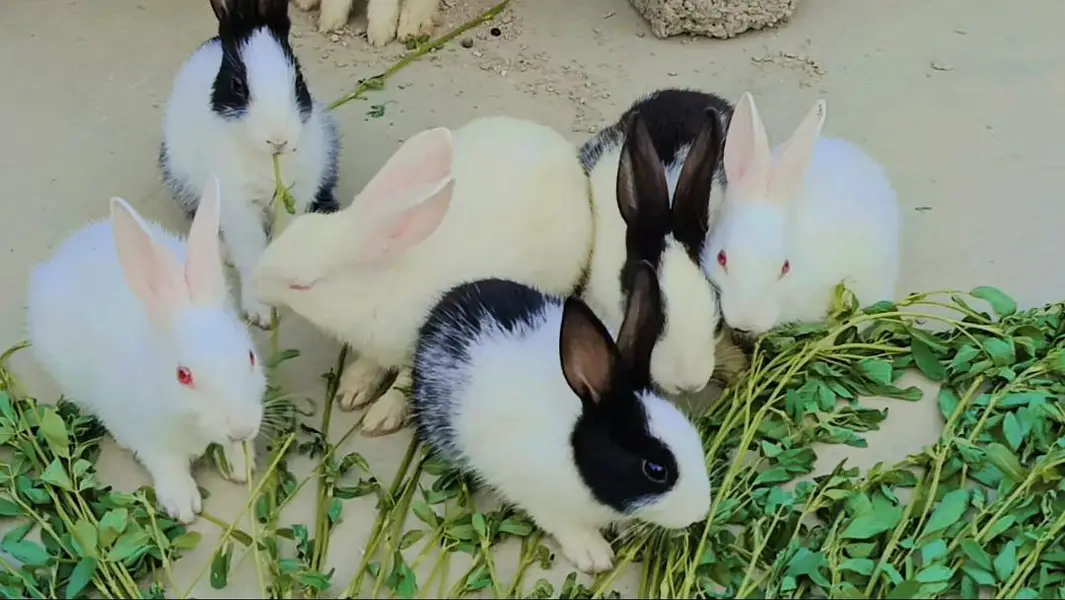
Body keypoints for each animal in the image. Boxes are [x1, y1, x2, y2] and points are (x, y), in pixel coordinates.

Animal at [25, 177, 266, 525]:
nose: (241, 428)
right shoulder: (148, 438)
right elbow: (166, 464)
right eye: (183, 375)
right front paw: (182, 505)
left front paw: (241, 464)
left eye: (250, 356)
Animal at [158, 0, 341, 328]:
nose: (278, 138)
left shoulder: (298, 194)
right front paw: (262, 313)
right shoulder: (237, 205)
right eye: (237, 86)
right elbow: (249, 250)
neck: (269, 162)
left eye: (299, 80)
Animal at [250, 115, 595, 436]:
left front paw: (379, 418)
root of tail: (560, 149)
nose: (255, 283)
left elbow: (404, 384)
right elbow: (372, 365)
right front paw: (352, 389)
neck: (379, 291)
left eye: (302, 285)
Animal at [411, 260, 711, 574]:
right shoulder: (536, 496)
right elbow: (565, 524)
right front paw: (595, 555)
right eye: (655, 469)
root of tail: (443, 306)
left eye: (694, 436)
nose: (700, 511)